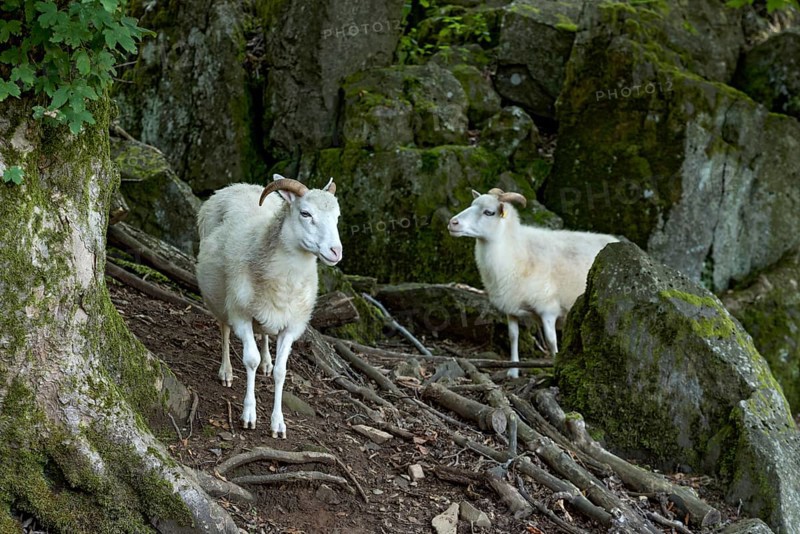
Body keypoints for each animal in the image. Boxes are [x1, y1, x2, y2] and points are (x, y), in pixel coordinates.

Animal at [196, 175, 342, 437]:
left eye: (337, 217)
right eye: (305, 213)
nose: (336, 251)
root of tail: (239, 185)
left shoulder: (291, 327)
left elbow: (281, 372)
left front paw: (278, 423)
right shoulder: (241, 315)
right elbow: (250, 360)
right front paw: (249, 415)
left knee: (263, 333)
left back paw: (266, 361)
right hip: (220, 297)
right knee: (224, 329)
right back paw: (226, 371)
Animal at [447, 188, 618, 378]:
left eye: (489, 212)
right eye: (472, 205)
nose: (452, 223)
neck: (515, 249)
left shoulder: (548, 308)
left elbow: (551, 341)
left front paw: (555, 369)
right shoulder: (511, 305)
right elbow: (513, 336)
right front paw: (513, 371)